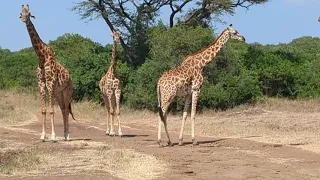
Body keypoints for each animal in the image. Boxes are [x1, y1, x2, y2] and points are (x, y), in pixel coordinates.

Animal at [19, 4, 76, 142]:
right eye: (20, 13)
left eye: (29, 14)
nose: (24, 19)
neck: (41, 56)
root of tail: (70, 77)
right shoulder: (41, 84)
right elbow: (44, 110)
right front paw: (43, 136)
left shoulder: (50, 83)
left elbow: (51, 111)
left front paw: (54, 136)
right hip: (59, 93)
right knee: (63, 109)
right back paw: (65, 135)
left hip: (67, 91)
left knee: (66, 110)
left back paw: (68, 135)